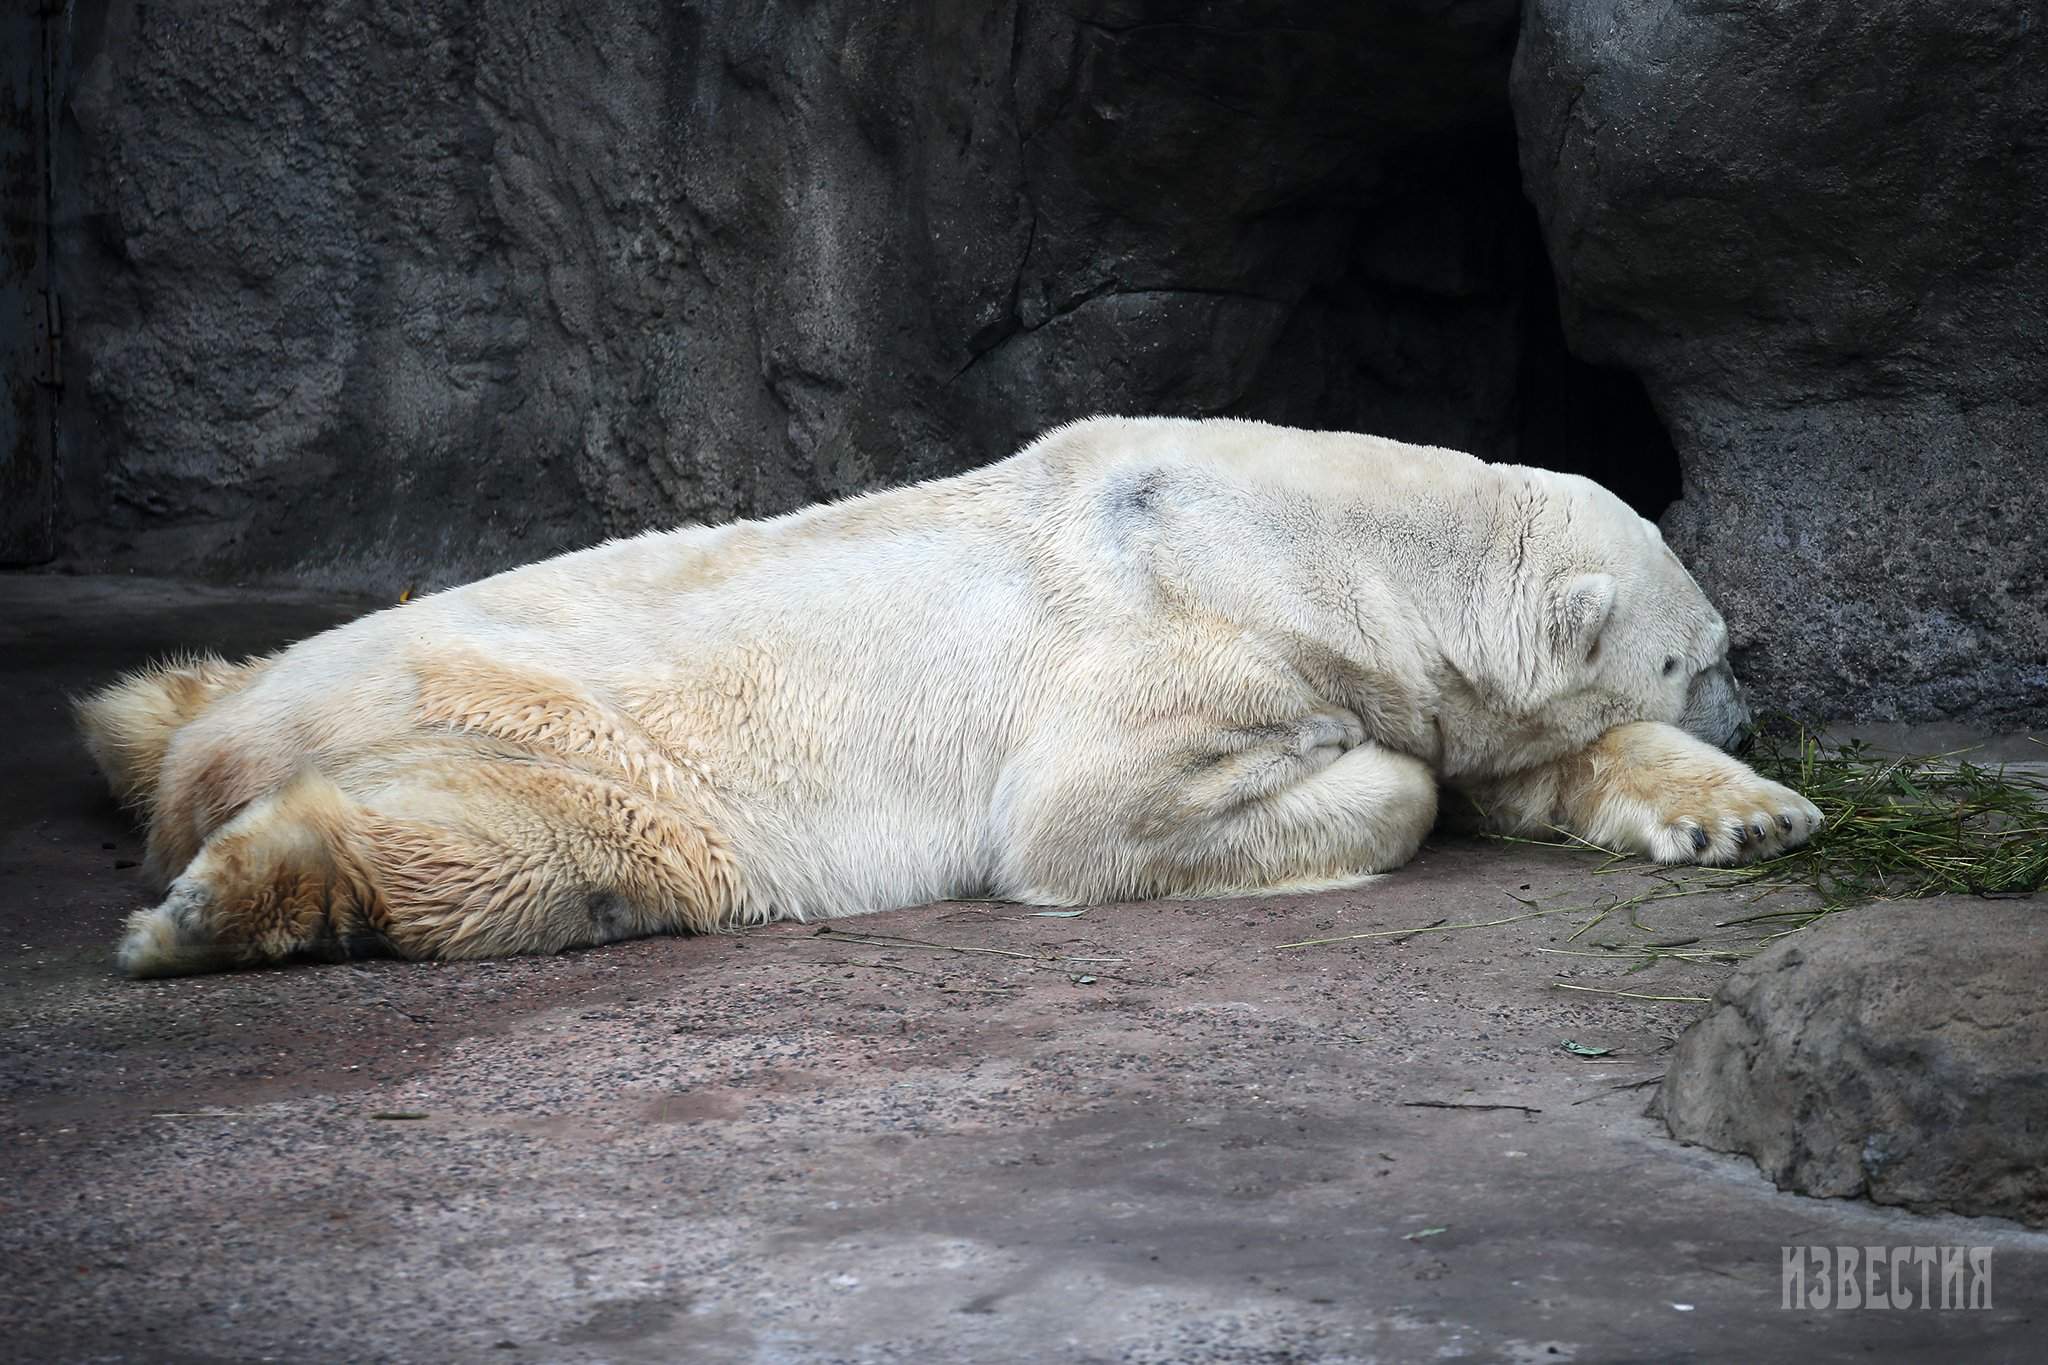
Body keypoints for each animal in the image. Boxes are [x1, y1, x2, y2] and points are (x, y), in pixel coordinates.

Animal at [79, 419, 1818, 982]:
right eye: (1714, 648)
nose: (1749, 714)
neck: (1306, 540)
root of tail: (226, 743)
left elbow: (1521, 757)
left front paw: (1744, 813)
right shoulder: (1169, 642)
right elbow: (1094, 815)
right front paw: (1368, 767)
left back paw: (131, 731)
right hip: (589, 743)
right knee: (553, 852)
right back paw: (204, 909)